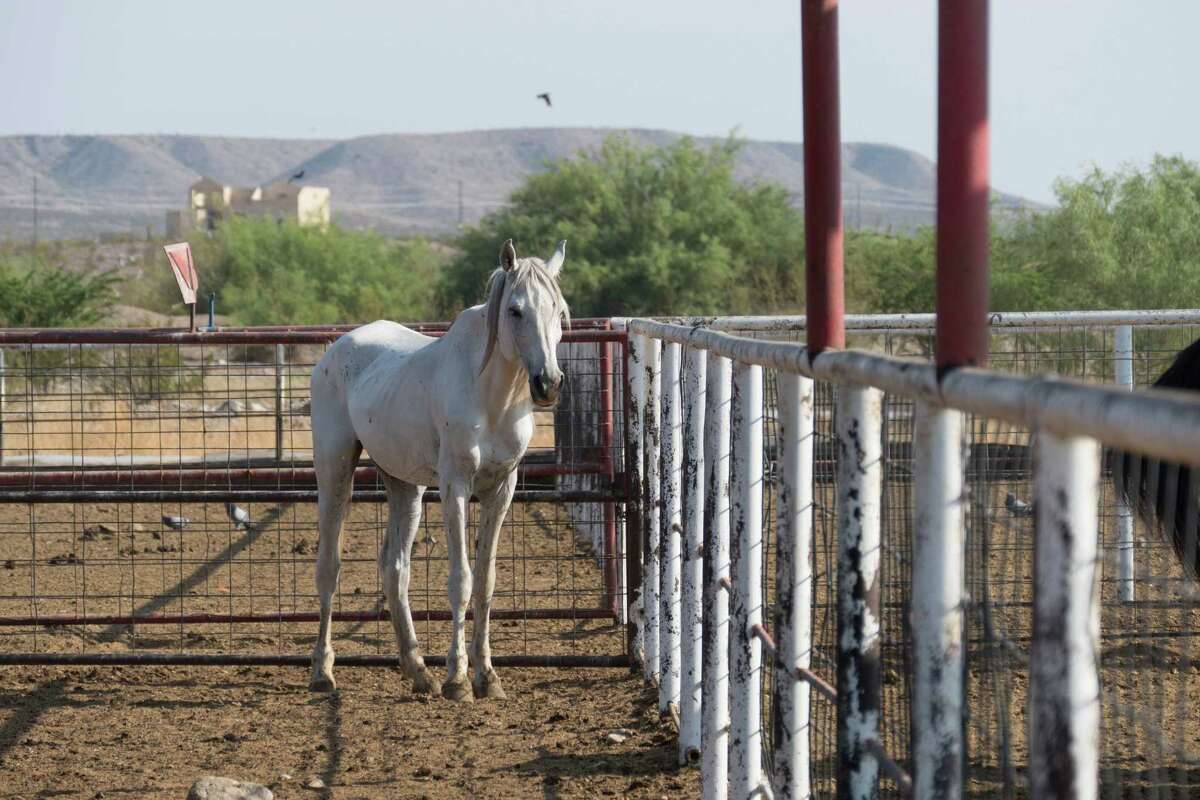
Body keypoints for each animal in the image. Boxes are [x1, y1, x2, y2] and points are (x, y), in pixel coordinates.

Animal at [307, 238, 569, 700]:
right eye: (515, 310)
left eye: (559, 310)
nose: (548, 384)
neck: (492, 397)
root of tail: (336, 351)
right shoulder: (456, 487)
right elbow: (460, 581)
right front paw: (458, 679)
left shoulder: (502, 491)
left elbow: (485, 583)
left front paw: (488, 677)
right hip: (335, 471)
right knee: (329, 569)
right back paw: (323, 672)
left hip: (404, 486)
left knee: (395, 569)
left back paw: (417, 671)